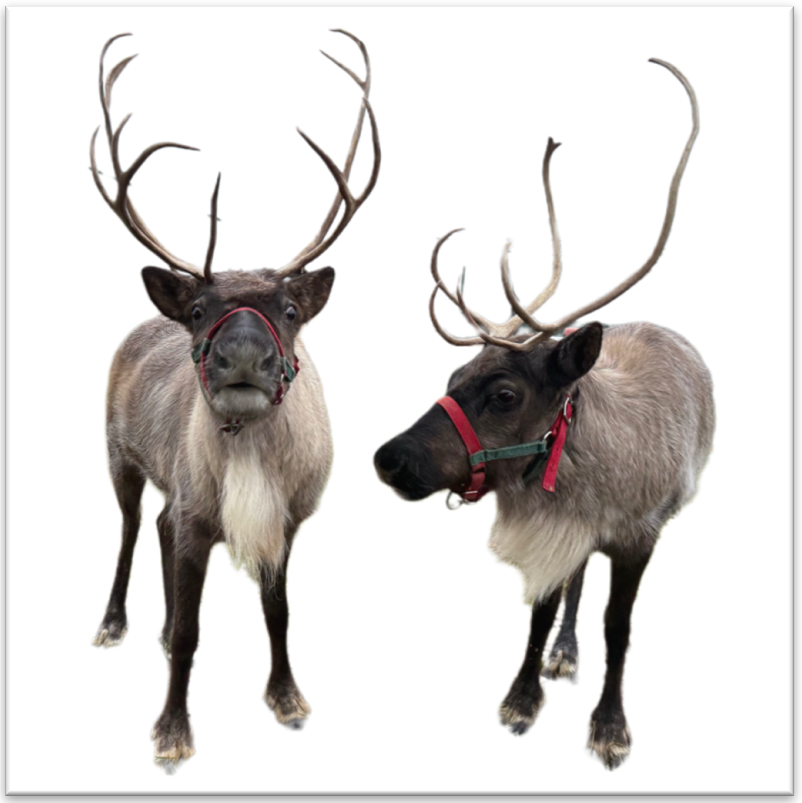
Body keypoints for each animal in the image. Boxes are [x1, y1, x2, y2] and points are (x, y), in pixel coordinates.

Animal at [89, 31, 380, 767]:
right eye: (199, 310)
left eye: (288, 309)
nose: (243, 357)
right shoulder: (197, 511)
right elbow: (194, 631)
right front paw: (172, 729)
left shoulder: (287, 520)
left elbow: (278, 612)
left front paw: (287, 697)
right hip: (120, 456)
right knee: (133, 528)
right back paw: (116, 622)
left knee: (157, 528)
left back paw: (159, 627)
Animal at [373, 59, 713, 769]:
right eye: (452, 379)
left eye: (504, 394)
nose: (388, 458)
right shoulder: (559, 528)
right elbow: (541, 607)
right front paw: (523, 696)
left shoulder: (639, 536)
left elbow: (620, 627)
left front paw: (609, 725)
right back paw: (563, 652)